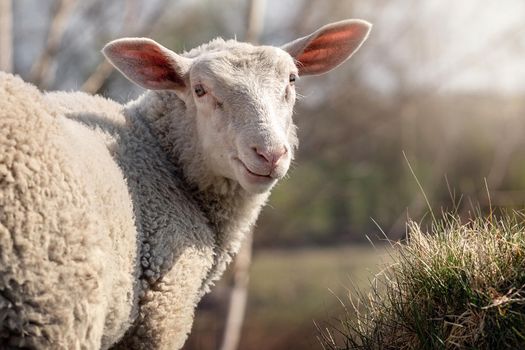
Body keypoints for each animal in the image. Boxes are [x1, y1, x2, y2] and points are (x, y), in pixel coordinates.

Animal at [0, 19, 370, 350]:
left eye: (291, 80)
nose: (270, 154)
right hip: (53, 302)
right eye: (200, 90)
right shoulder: (164, 308)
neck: (161, 155)